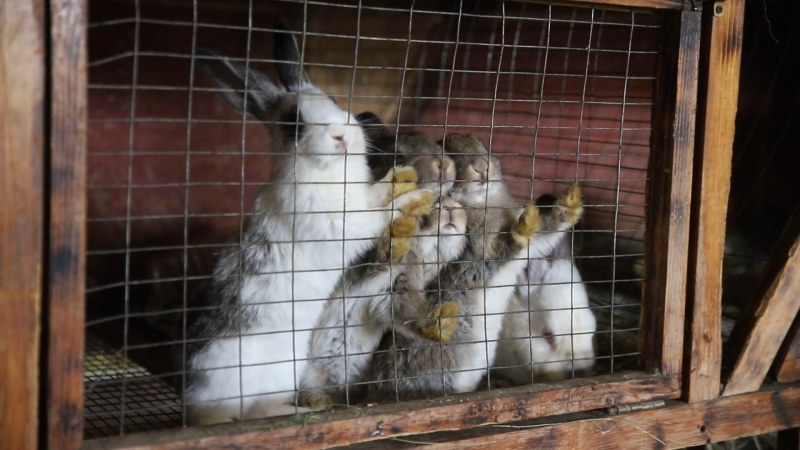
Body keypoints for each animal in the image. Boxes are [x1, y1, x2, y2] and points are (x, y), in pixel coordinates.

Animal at [184, 24, 434, 426]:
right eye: (294, 124)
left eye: (332, 98)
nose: (341, 136)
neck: (327, 170)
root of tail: (197, 408)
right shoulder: (341, 222)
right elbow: (378, 214)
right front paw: (415, 197)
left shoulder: (360, 195)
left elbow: (377, 193)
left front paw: (404, 178)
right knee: (255, 412)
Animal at [300, 195, 468, 410]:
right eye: (431, 206)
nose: (451, 206)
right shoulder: (367, 273)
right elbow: (380, 259)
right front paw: (399, 238)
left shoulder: (396, 294)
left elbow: (409, 318)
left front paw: (441, 325)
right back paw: (317, 400)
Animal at [362, 135, 580, 402]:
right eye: (453, 155)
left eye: (483, 145)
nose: (481, 167)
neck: (483, 202)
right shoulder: (479, 254)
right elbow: (506, 248)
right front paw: (523, 229)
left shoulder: (534, 244)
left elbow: (547, 229)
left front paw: (571, 203)